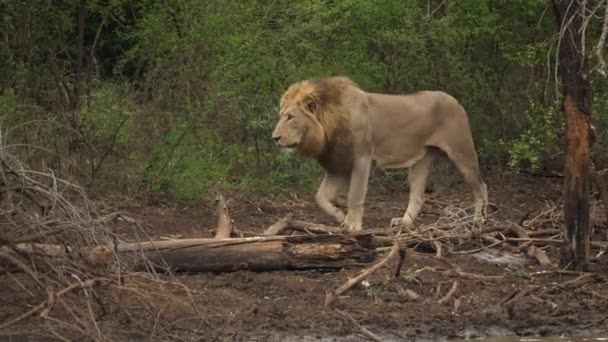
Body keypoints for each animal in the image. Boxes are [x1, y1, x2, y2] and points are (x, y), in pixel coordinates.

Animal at [272, 77, 490, 232]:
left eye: (290, 117)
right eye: (281, 116)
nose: (274, 138)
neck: (328, 129)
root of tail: (455, 100)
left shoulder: (362, 160)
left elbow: (355, 196)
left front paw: (352, 225)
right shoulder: (337, 165)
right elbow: (320, 197)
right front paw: (339, 216)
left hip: (462, 153)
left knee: (481, 186)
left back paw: (479, 220)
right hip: (421, 160)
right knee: (418, 196)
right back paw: (404, 222)